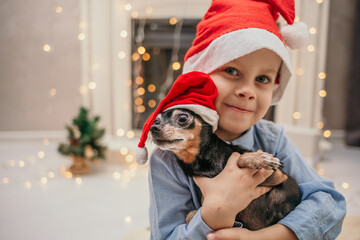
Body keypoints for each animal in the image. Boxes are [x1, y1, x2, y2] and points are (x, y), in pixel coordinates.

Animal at [150, 108, 302, 230]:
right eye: (156, 120)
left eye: (182, 118)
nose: (153, 128)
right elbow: (190, 215)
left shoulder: (278, 175)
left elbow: (239, 157)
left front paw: (258, 158)